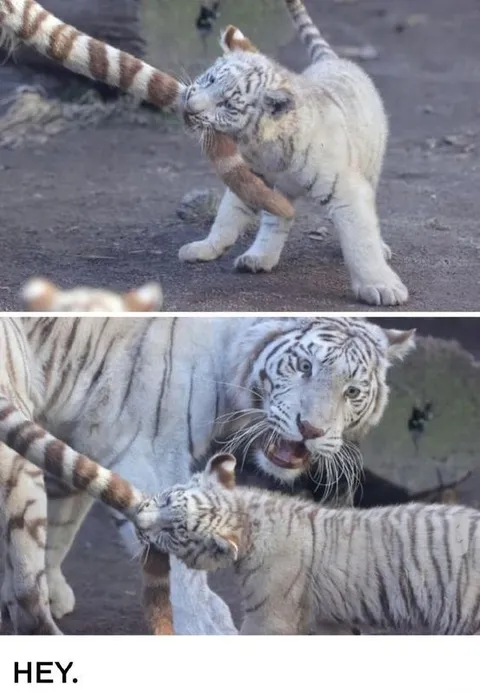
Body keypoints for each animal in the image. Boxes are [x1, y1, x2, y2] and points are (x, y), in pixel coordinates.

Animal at [139, 451, 480, 636]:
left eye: (172, 531)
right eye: (165, 499)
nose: (139, 521)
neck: (249, 517)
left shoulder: (268, 616)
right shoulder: (333, 619)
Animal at [177, 0, 408, 307]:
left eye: (227, 104)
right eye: (210, 78)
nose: (190, 106)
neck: (262, 147)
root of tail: (333, 59)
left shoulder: (346, 189)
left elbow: (361, 239)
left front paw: (381, 286)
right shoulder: (251, 178)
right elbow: (227, 216)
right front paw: (204, 247)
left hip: (371, 165)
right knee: (275, 220)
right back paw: (259, 257)